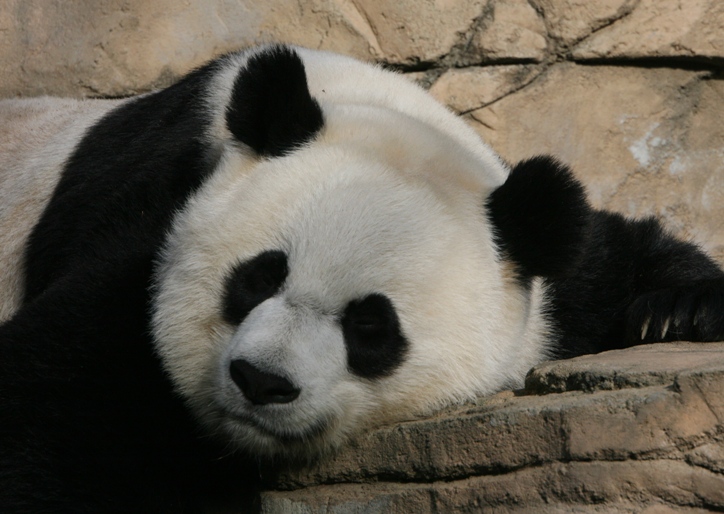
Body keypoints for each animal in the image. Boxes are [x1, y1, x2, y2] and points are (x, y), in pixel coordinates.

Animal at [1, 44, 723, 512]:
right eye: (256, 279)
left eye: (370, 326)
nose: (260, 381)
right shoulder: (158, 217)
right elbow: (56, 402)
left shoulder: (539, 270)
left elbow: (603, 257)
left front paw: (675, 312)